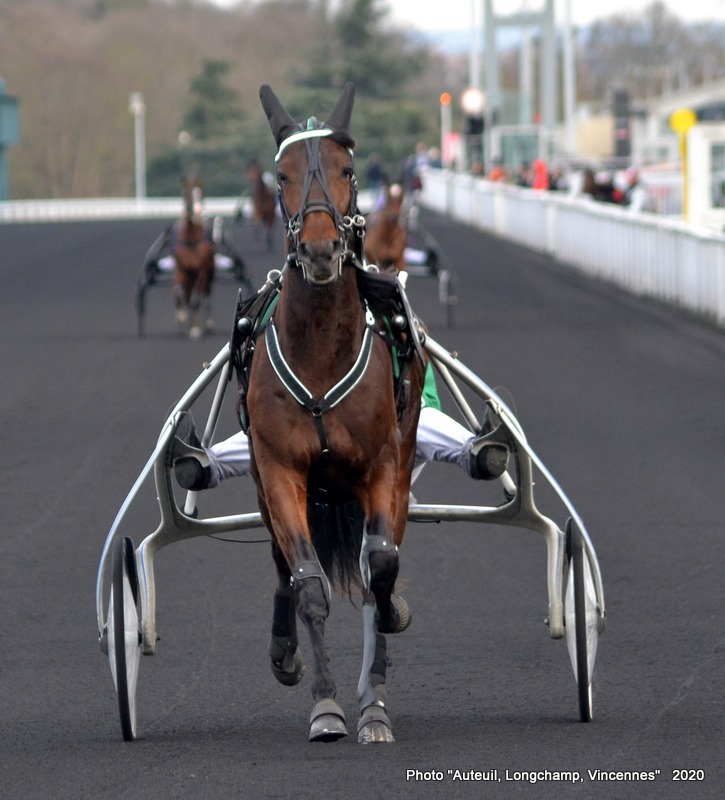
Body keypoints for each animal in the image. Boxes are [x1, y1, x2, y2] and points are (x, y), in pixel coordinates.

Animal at [172, 180, 215, 340]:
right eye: (183, 192)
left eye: (199, 192)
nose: (192, 210)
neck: (191, 240)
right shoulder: (181, 270)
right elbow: (179, 292)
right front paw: (182, 318)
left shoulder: (202, 270)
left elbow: (196, 299)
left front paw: (195, 328)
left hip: (208, 275)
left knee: (205, 295)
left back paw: (206, 324)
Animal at [245, 83, 424, 744]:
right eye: (282, 175)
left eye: (347, 170)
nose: (321, 249)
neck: (322, 352)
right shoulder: (278, 471)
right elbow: (307, 584)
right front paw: (325, 705)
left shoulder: (380, 466)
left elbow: (381, 569)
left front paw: (374, 703)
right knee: (283, 568)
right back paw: (285, 652)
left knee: (381, 565)